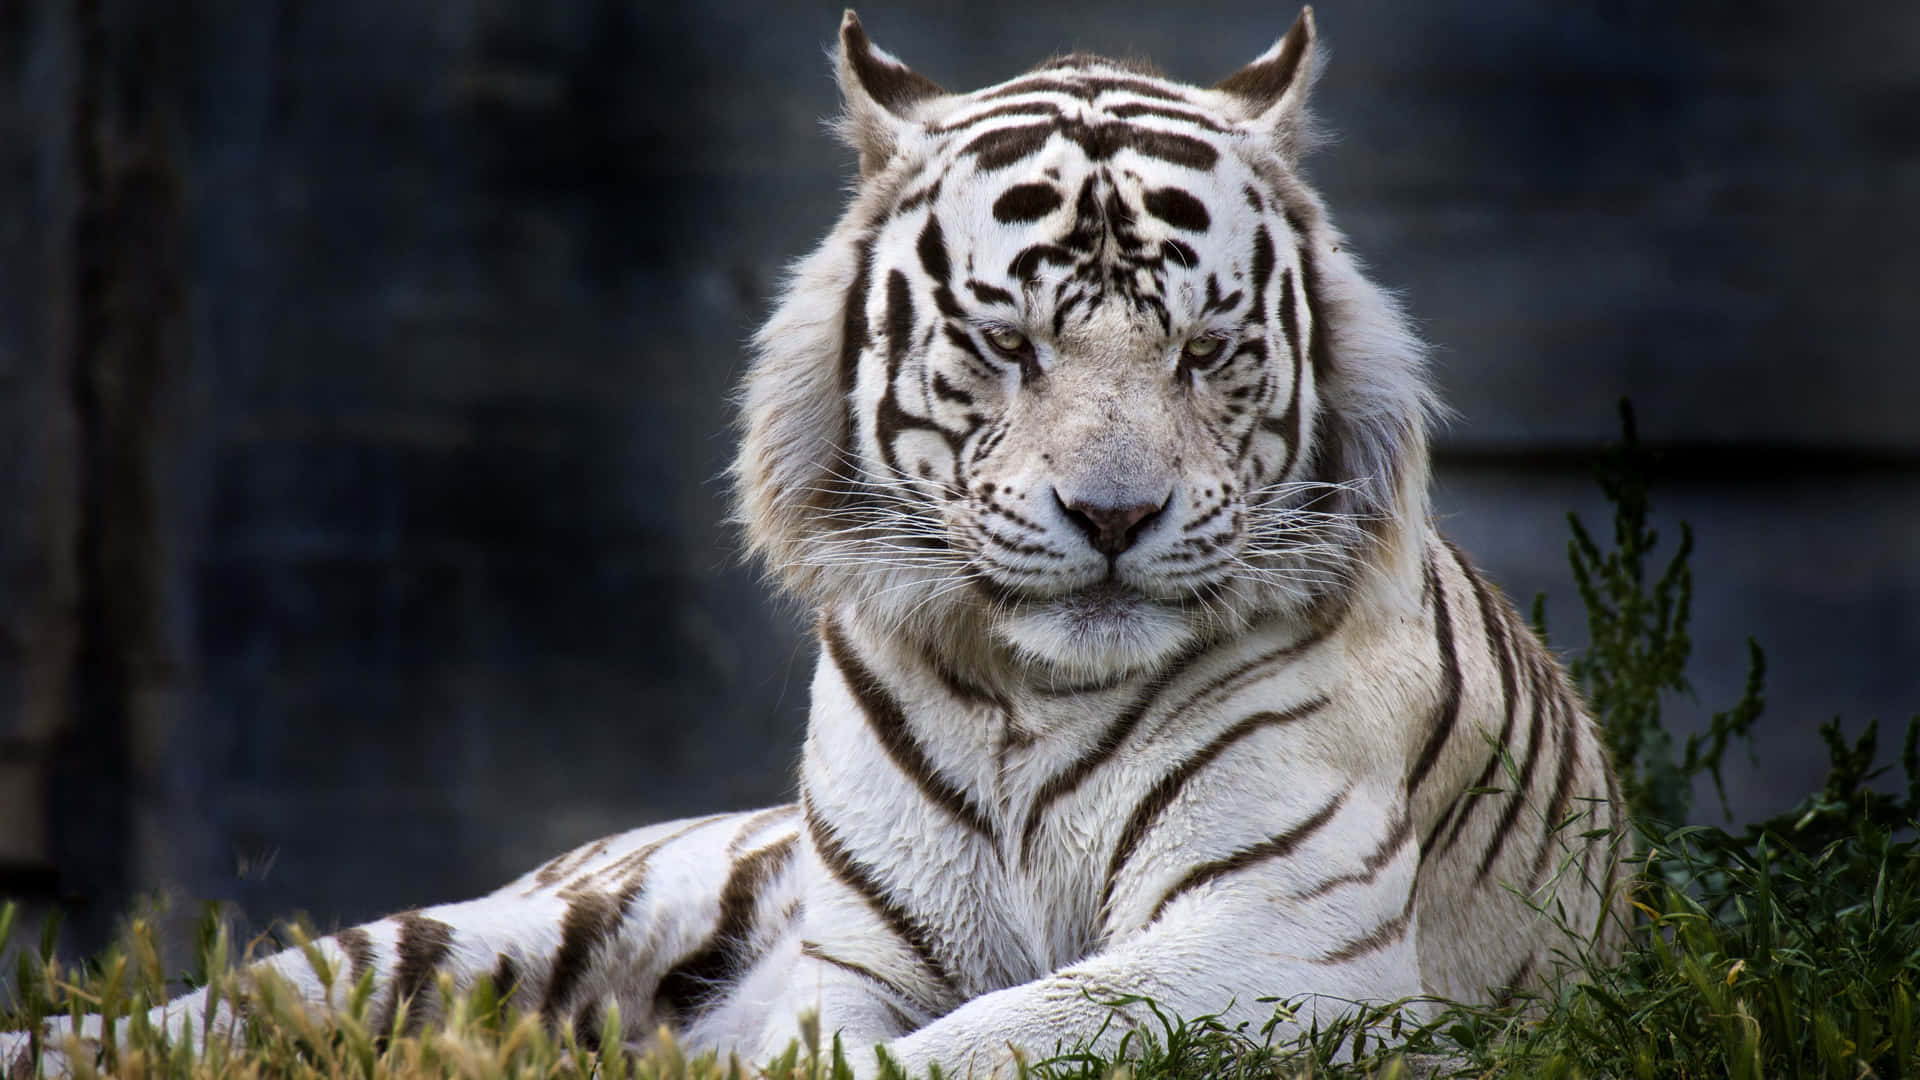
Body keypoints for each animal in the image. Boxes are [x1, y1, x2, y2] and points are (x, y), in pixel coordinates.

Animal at [3, 9, 1629, 1077]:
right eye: (1008, 342)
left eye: (1206, 350)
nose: (1114, 517)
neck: (1031, 700)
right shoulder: (854, 964)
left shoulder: (1276, 945)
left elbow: (998, 1039)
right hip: (486, 933)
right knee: (223, 1007)